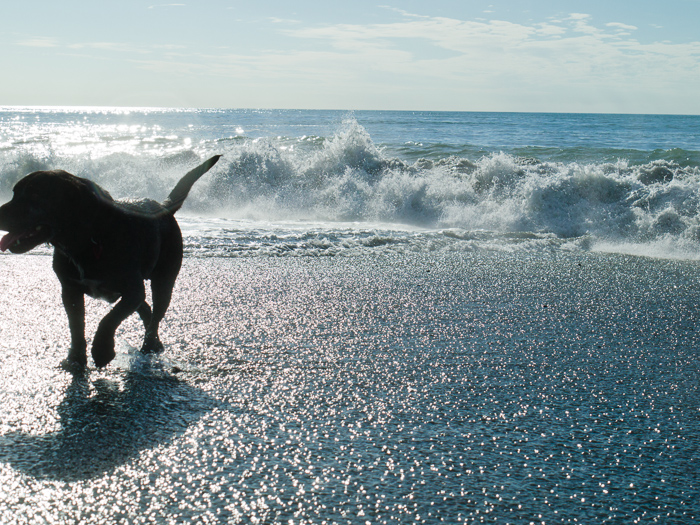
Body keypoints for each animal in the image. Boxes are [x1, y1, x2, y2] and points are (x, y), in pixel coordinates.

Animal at [0, 155, 221, 368]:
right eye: (14, 193)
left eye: (35, 196)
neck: (86, 242)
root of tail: (163, 207)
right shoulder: (70, 290)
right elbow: (76, 326)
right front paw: (76, 358)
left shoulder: (132, 290)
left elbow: (109, 319)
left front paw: (102, 351)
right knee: (146, 309)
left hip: (164, 279)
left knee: (156, 312)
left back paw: (150, 345)